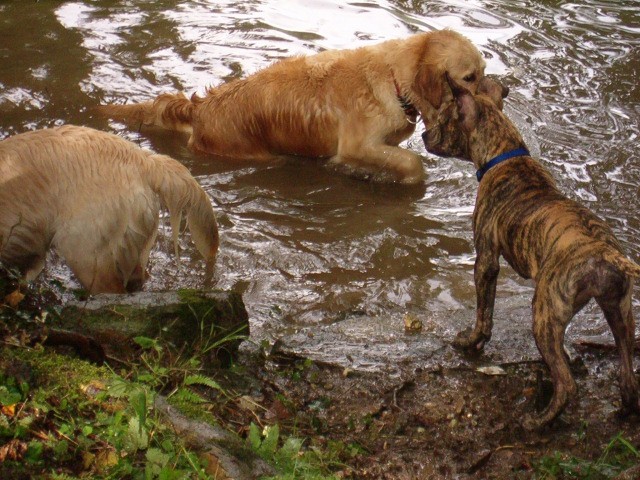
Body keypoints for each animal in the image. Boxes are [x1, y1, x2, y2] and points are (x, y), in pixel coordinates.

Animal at [97, 29, 484, 185]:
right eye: (470, 77)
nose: (500, 91)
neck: (393, 76)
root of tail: (202, 107)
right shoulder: (356, 143)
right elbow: (412, 162)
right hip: (261, 154)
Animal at [422, 73, 636, 430]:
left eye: (442, 121)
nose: (424, 135)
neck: (506, 153)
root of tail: (603, 252)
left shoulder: (486, 259)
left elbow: (483, 310)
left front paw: (471, 340)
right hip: (619, 312)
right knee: (628, 374)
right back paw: (623, 410)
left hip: (544, 313)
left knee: (567, 383)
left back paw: (539, 419)